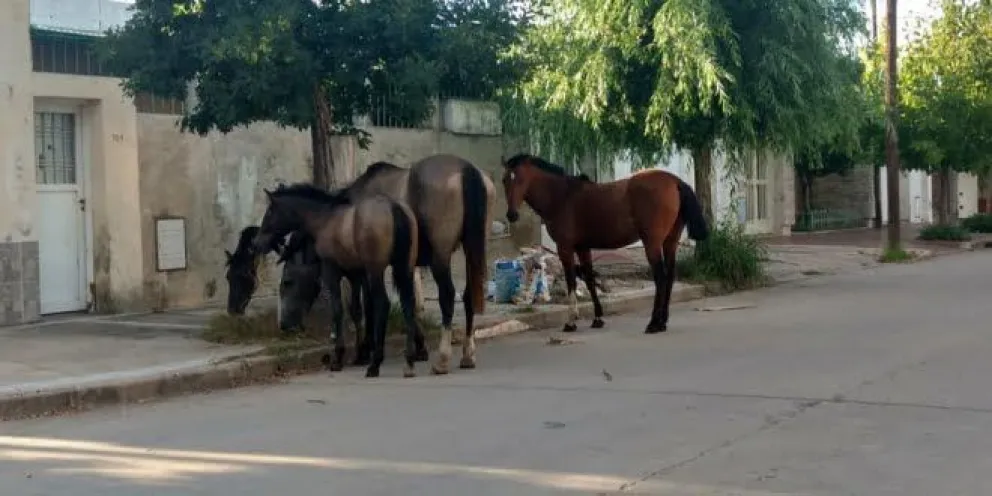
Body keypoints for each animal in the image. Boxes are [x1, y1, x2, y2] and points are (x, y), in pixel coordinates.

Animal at [251, 183, 428, 378]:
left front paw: (339, 358)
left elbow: (339, 309)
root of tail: (394, 207)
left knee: (383, 303)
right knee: (408, 303)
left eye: (269, 212)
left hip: (376, 270)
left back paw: (375, 364)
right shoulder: (356, 275)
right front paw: (360, 353)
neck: (323, 220)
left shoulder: (332, 271)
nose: (256, 243)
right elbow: (357, 310)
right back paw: (409, 360)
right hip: (404, 267)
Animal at [340, 154, 495, 375]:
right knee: (468, 295)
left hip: (441, 255)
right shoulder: (408, 266)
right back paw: (467, 355)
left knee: (447, 296)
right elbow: (414, 303)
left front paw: (365, 352)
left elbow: (368, 304)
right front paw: (419, 348)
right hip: (473, 249)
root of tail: (466, 168)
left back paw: (442, 360)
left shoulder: (371, 267)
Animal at [501, 154, 709, 334]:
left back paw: (654, 323)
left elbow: (571, 280)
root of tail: (674, 181)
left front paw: (571, 321)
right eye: (504, 180)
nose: (511, 215)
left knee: (660, 278)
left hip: (652, 243)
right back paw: (663, 321)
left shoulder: (565, 248)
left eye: (520, 179)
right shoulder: (583, 247)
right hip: (670, 242)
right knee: (670, 276)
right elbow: (589, 279)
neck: (561, 197)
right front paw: (598, 318)